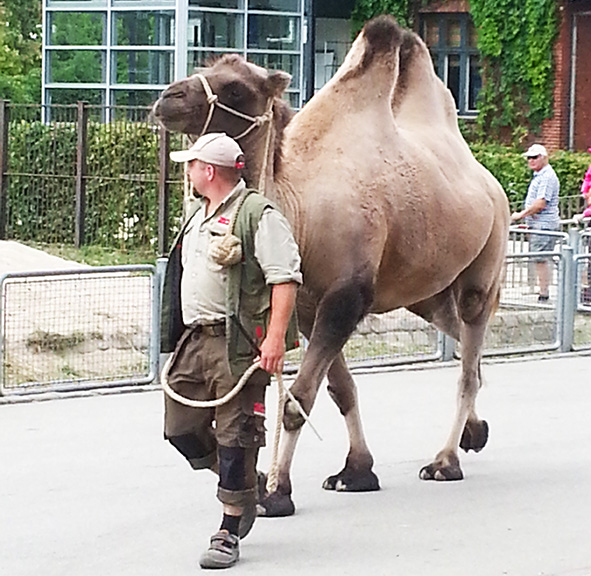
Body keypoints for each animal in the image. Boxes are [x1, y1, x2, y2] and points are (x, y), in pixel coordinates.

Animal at [154, 15, 512, 516]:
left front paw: (276, 491)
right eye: (204, 67)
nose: (168, 97)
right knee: (467, 348)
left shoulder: (346, 295)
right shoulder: (308, 304)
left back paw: (445, 461)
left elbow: (297, 400)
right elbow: (340, 390)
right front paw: (356, 471)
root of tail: (492, 184)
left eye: (236, 88)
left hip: (484, 266)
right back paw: (475, 434)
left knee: (468, 357)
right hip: (428, 293)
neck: (299, 213)